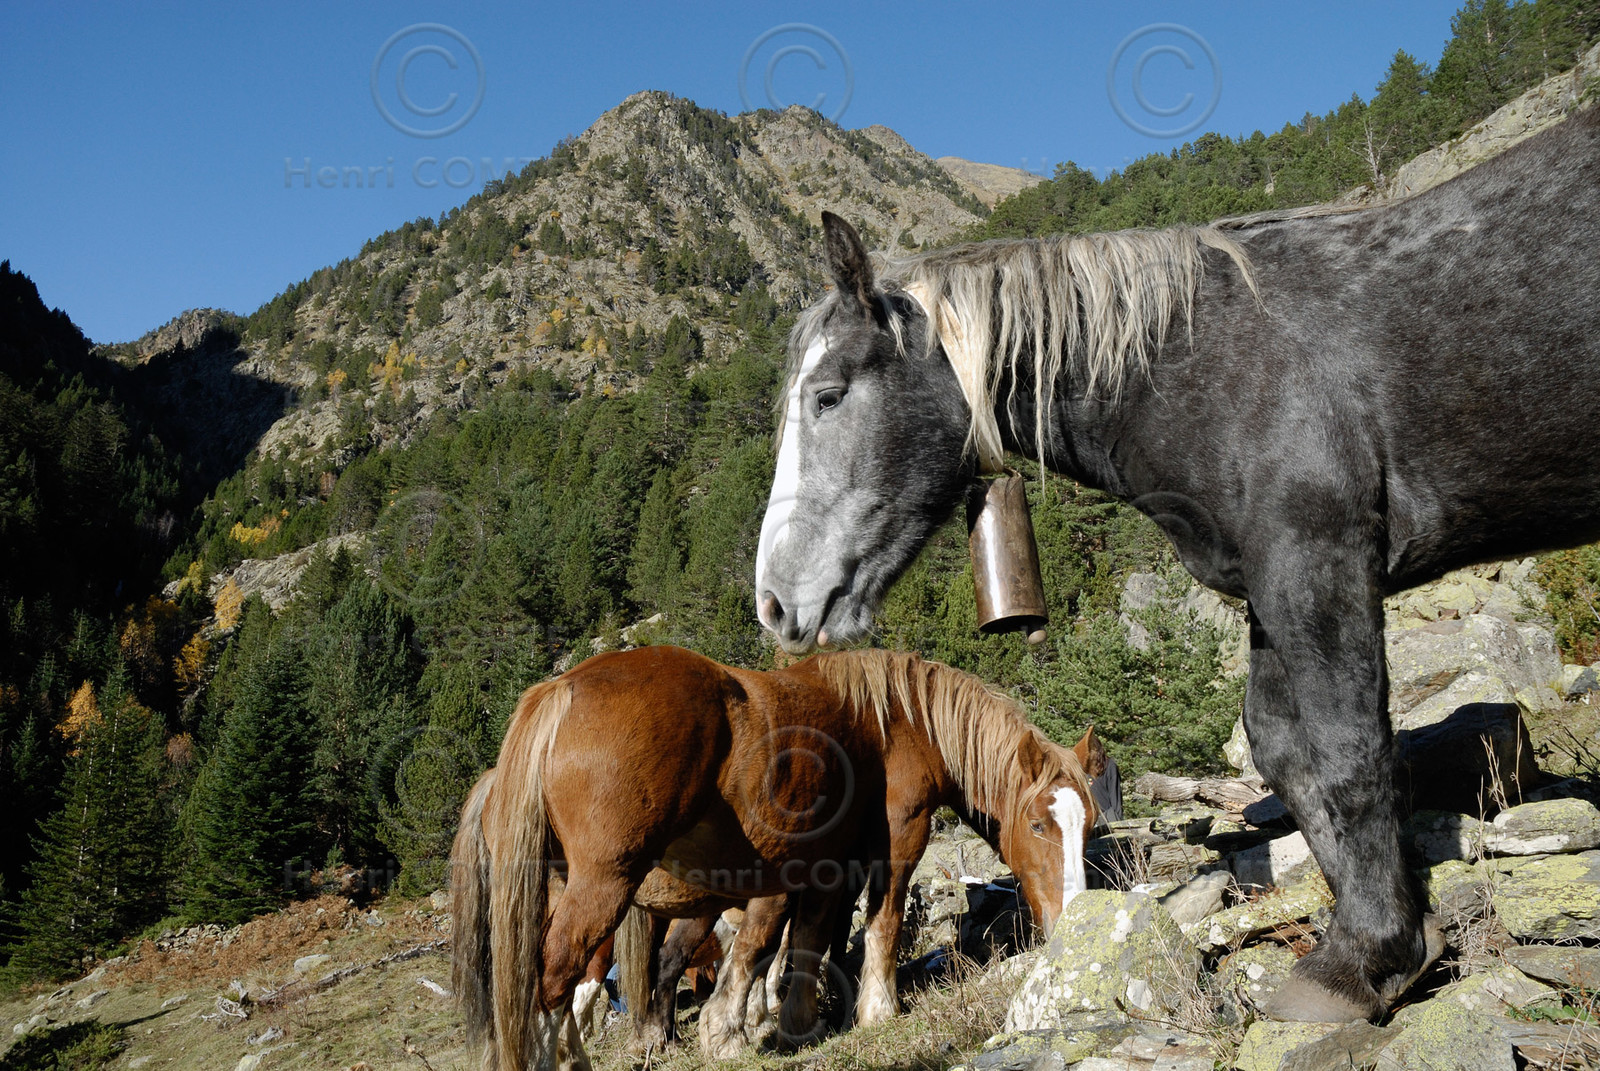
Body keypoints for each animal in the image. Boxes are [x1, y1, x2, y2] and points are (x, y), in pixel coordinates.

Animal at [449, 645, 1099, 1069]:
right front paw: (876, 1009)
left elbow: (801, 943)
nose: (1074, 919)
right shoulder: (898, 837)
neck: (902, 721)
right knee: (556, 979)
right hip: (603, 886)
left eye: (1088, 823)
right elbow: (878, 925)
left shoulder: (821, 868)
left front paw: (792, 1024)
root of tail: (560, 690)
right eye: (1038, 824)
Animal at [753, 101, 1600, 1022]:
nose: (773, 602)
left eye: (828, 395)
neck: (1209, 369)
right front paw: (1374, 935)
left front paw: (1369, 957)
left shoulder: (1318, 564)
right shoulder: (1269, 588)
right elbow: (1284, 749)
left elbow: (1349, 751)